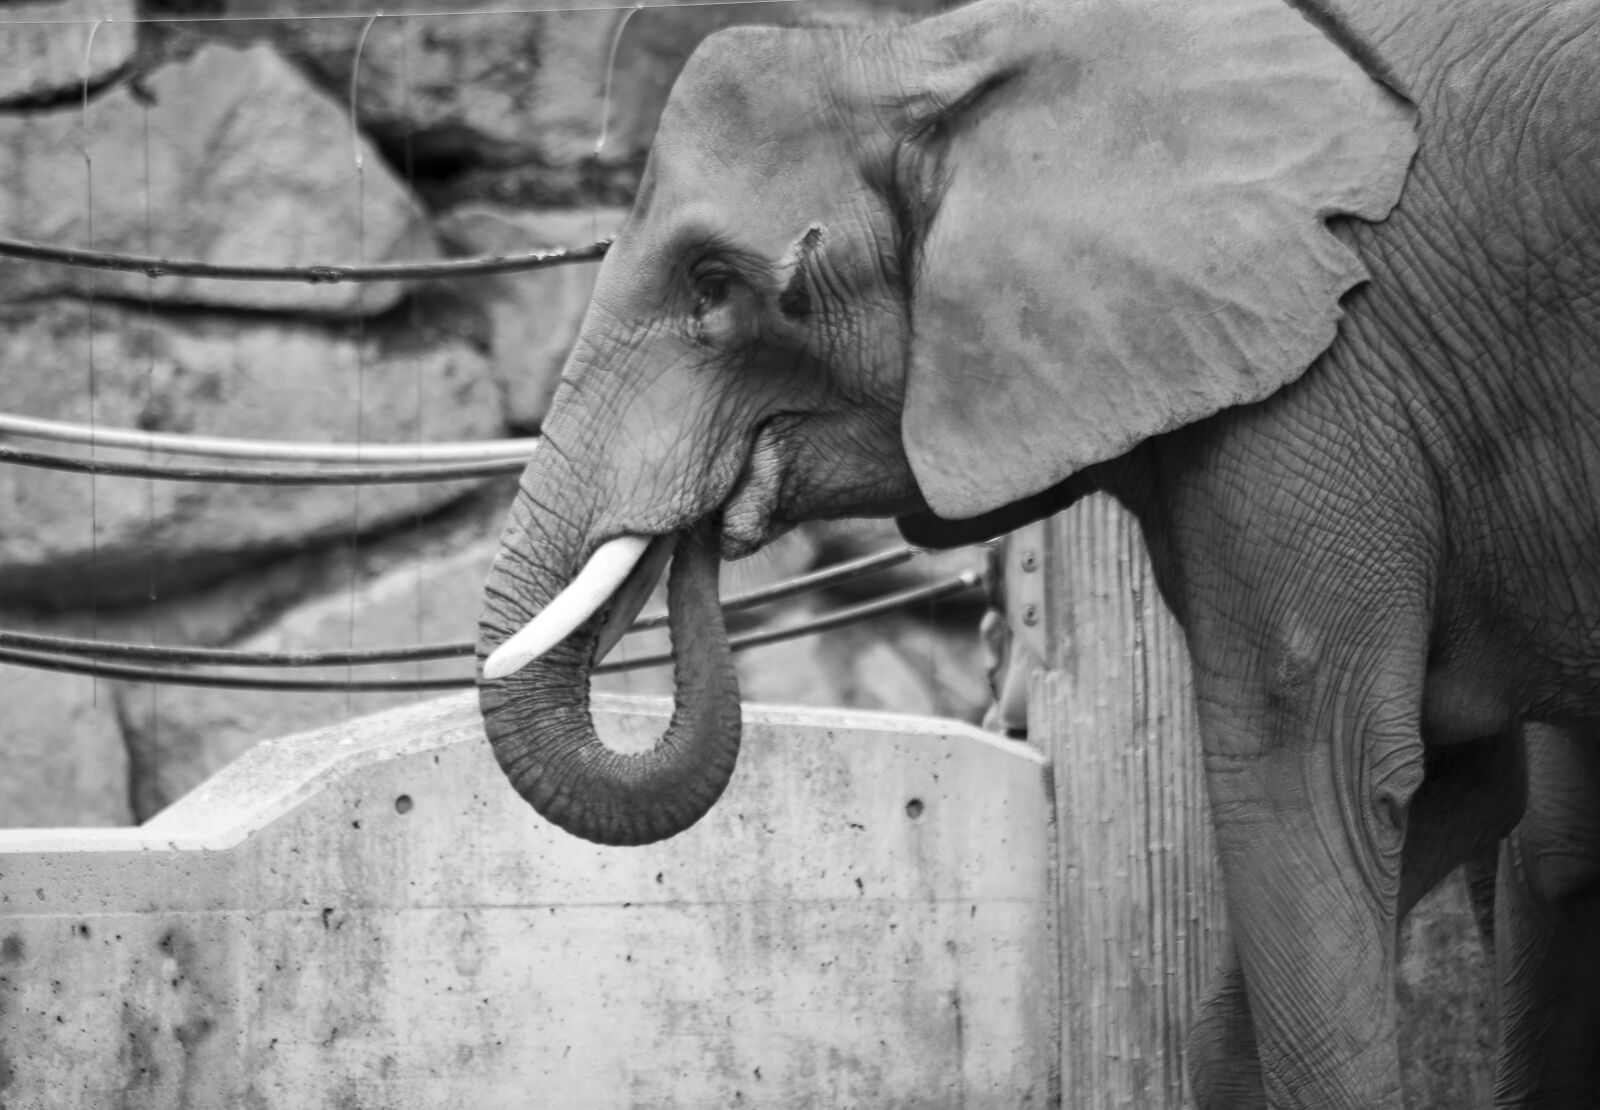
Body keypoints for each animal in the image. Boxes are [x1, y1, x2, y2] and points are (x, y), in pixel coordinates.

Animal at [475, 0, 1600, 1104]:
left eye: (714, 285)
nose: (713, 519)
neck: (947, 49)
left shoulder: (1326, 369)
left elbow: (1316, 779)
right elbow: (1455, 783)